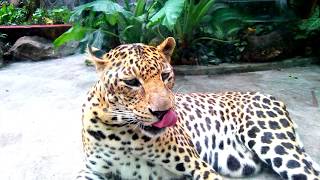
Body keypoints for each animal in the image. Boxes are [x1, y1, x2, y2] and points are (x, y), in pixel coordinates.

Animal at [76, 37, 318, 179]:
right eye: (132, 82)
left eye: (165, 75)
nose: (163, 112)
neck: (123, 134)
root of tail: (270, 96)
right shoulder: (92, 171)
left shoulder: (197, 166)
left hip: (271, 141)